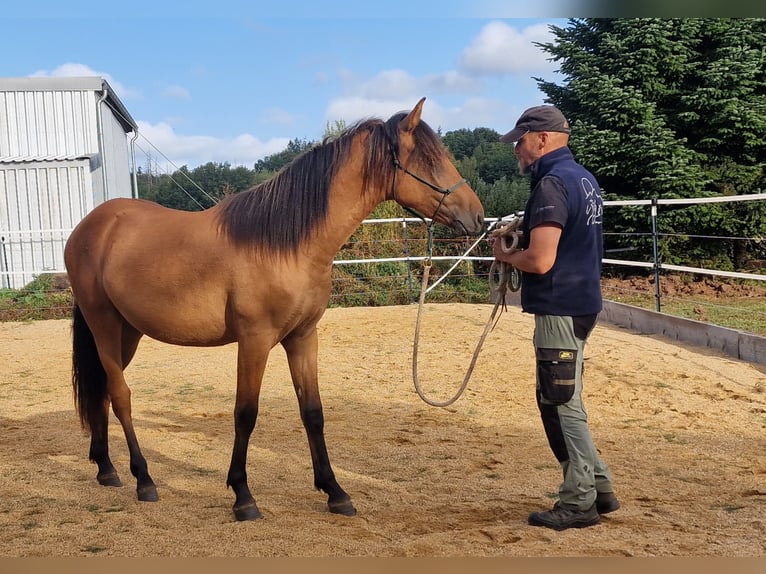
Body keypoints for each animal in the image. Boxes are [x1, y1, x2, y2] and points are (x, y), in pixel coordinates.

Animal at [64, 97, 485, 521]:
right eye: (428, 160)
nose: (478, 217)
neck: (286, 245)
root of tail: (90, 226)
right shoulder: (254, 341)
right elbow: (245, 414)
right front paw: (243, 496)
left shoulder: (302, 337)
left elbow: (313, 412)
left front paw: (335, 492)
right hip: (103, 325)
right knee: (120, 394)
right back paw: (143, 479)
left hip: (128, 331)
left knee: (102, 390)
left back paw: (106, 468)